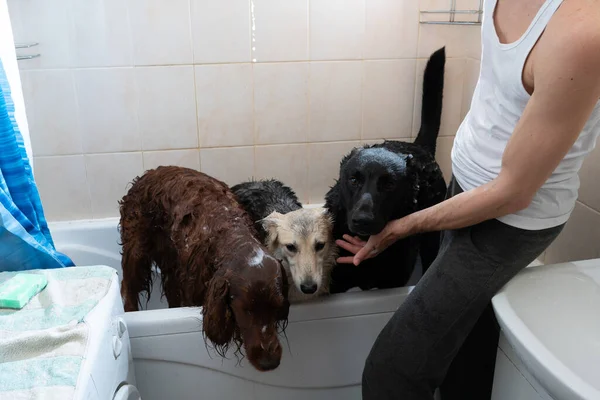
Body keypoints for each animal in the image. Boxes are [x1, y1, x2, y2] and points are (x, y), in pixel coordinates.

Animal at [118, 166, 290, 372]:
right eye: (245, 310)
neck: (232, 235)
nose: (269, 363)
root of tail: (149, 172)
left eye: (277, 306)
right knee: (128, 287)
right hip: (136, 250)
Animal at [326, 47, 448, 294]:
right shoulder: (338, 283)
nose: (362, 220)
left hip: (431, 237)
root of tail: (420, 147)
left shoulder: (393, 281)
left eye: (389, 184)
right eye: (353, 180)